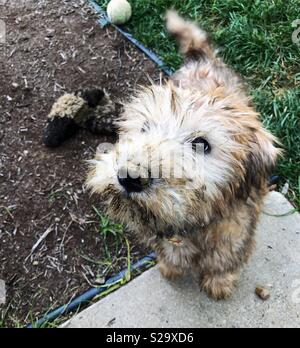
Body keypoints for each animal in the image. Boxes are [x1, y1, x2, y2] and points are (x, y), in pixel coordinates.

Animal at [86, 10, 282, 300]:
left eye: (202, 144)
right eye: (144, 128)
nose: (130, 177)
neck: (196, 224)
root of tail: (202, 57)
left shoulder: (237, 231)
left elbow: (226, 258)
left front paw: (219, 283)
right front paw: (171, 267)